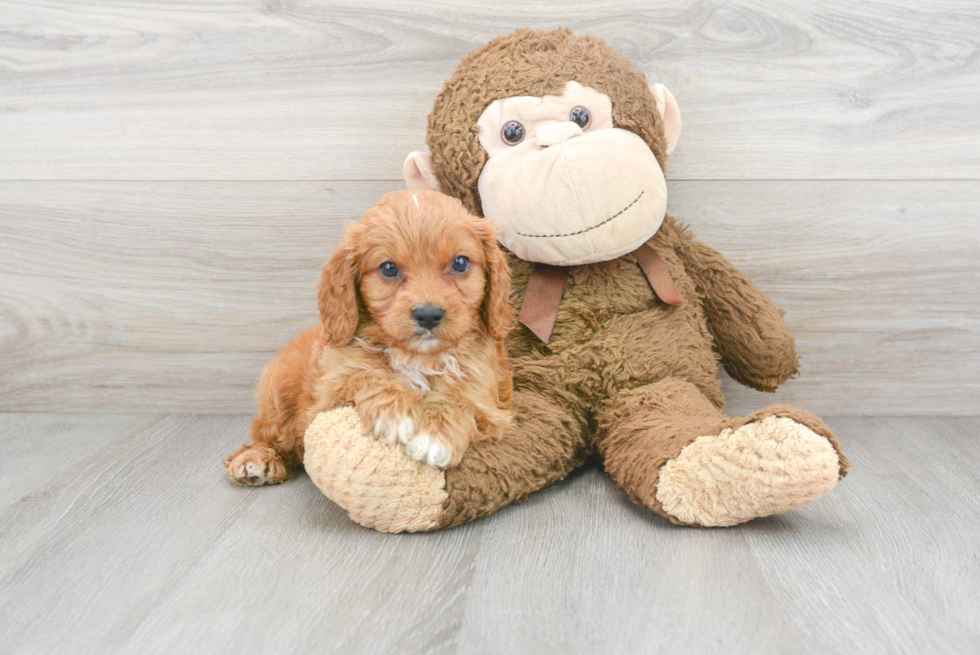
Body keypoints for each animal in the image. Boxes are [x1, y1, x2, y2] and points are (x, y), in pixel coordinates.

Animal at [222, 187, 512, 484]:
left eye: (461, 263)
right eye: (388, 268)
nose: (429, 315)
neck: (418, 357)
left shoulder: (491, 402)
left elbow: (463, 399)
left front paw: (436, 436)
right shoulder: (327, 396)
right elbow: (365, 375)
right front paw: (393, 412)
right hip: (278, 392)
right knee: (268, 435)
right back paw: (257, 459)